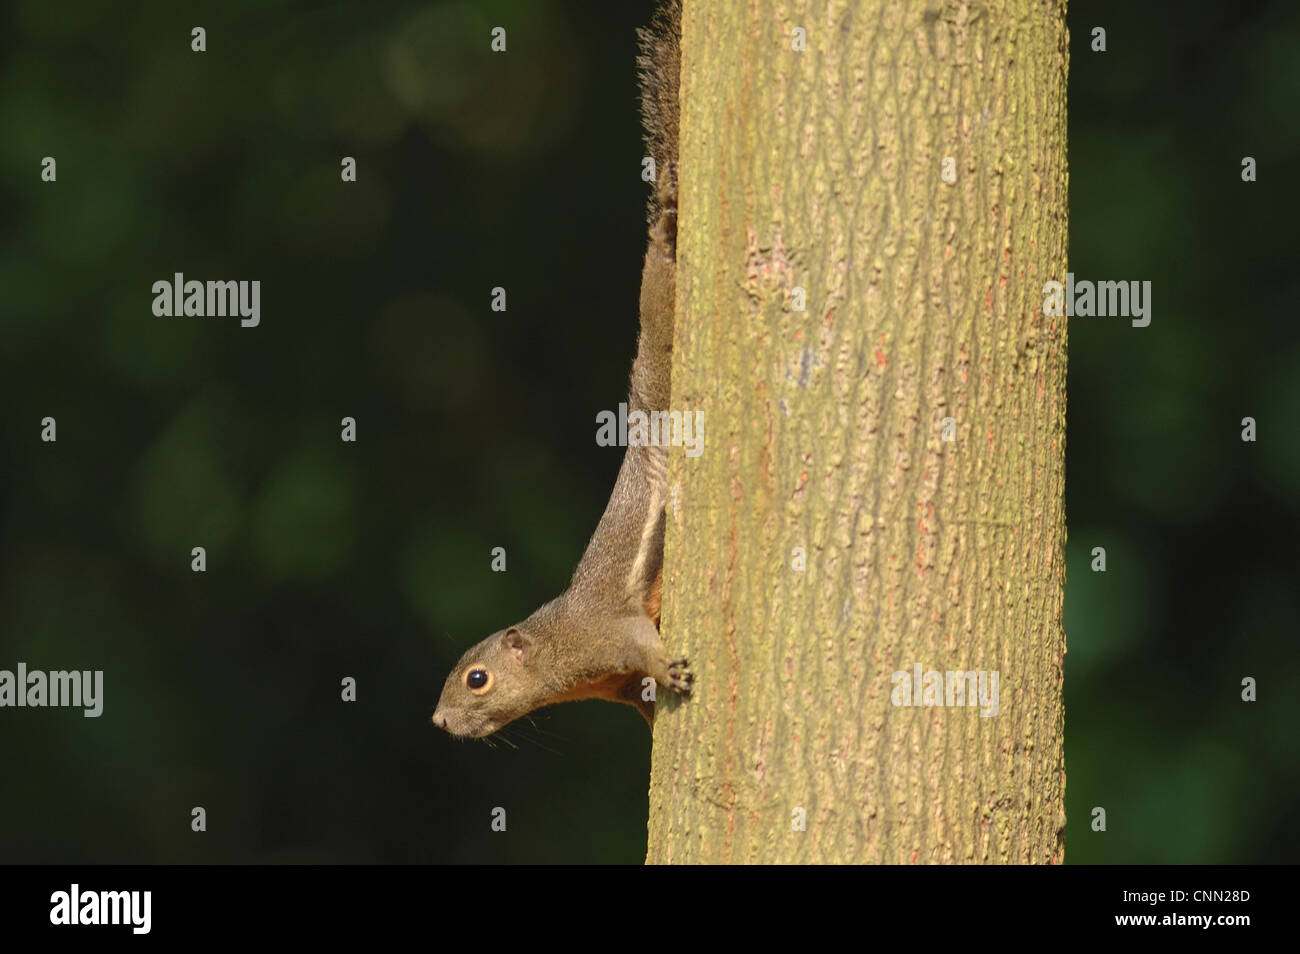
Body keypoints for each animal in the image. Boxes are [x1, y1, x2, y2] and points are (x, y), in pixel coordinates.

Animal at [433, 0, 688, 739]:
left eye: (478, 679)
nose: (440, 722)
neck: (555, 654)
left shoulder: (606, 635)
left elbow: (642, 645)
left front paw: (671, 674)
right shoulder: (614, 681)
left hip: (662, 319)